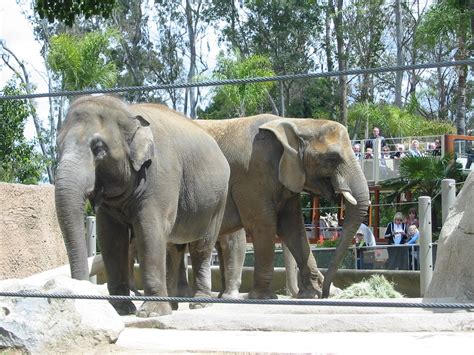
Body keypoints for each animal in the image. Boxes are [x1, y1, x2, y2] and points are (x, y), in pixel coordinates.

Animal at [55, 96, 230, 318]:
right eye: (58, 147)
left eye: (99, 149)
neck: (129, 114)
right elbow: (110, 236)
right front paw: (120, 310)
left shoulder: (160, 175)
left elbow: (149, 229)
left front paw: (151, 313)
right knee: (174, 248)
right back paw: (174, 304)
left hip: (219, 200)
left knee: (201, 246)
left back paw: (199, 304)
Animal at [196, 115, 370, 298]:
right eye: (332, 158)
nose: (326, 294)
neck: (297, 123)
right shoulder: (252, 175)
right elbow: (264, 225)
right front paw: (264, 297)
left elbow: (293, 227)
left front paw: (311, 294)